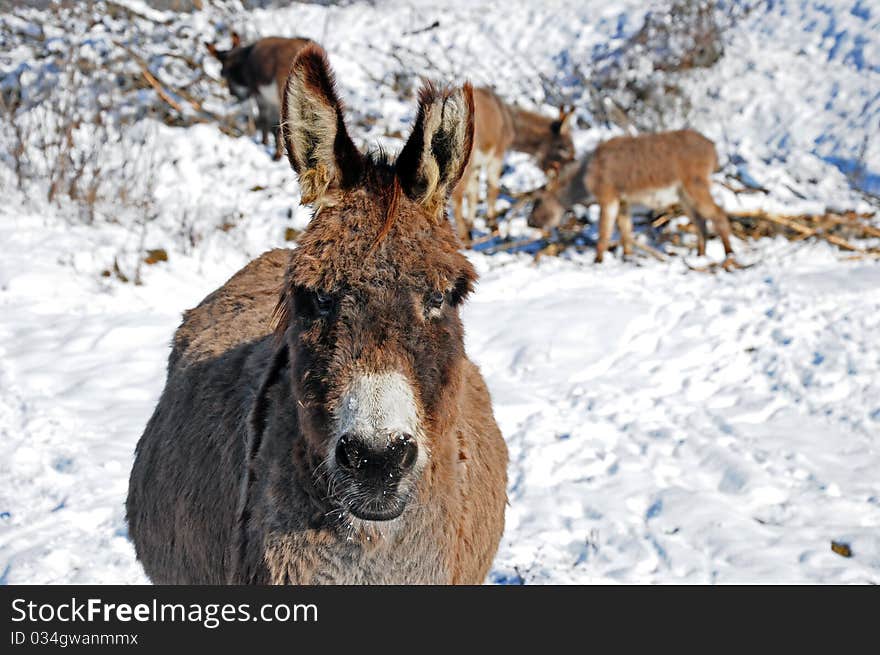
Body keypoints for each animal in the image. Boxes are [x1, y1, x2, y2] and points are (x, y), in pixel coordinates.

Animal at [528, 129, 736, 266]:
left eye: (538, 199)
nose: (531, 221)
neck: (583, 184)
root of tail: (713, 148)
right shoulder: (623, 201)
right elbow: (626, 230)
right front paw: (627, 256)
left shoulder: (607, 196)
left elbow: (604, 232)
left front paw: (598, 260)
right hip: (683, 195)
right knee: (701, 221)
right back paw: (700, 256)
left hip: (695, 185)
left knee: (718, 214)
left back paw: (729, 255)